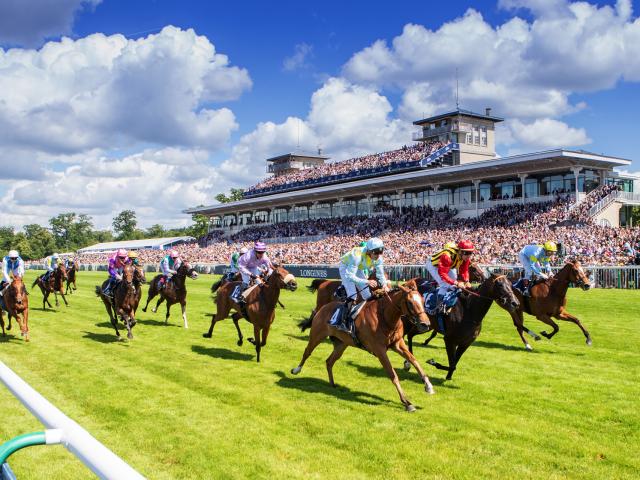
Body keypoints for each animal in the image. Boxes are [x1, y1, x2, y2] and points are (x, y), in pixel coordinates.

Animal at [292, 282, 432, 412]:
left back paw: (332, 383)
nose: (425, 324)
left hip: (341, 344)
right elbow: (393, 374)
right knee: (307, 352)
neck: (384, 317)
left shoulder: (398, 344)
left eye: (423, 300)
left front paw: (428, 386)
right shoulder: (380, 350)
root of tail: (322, 308)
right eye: (410, 302)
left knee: (329, 361)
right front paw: (407, 402)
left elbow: (414, 361)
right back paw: (296, 370)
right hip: (317, 335)